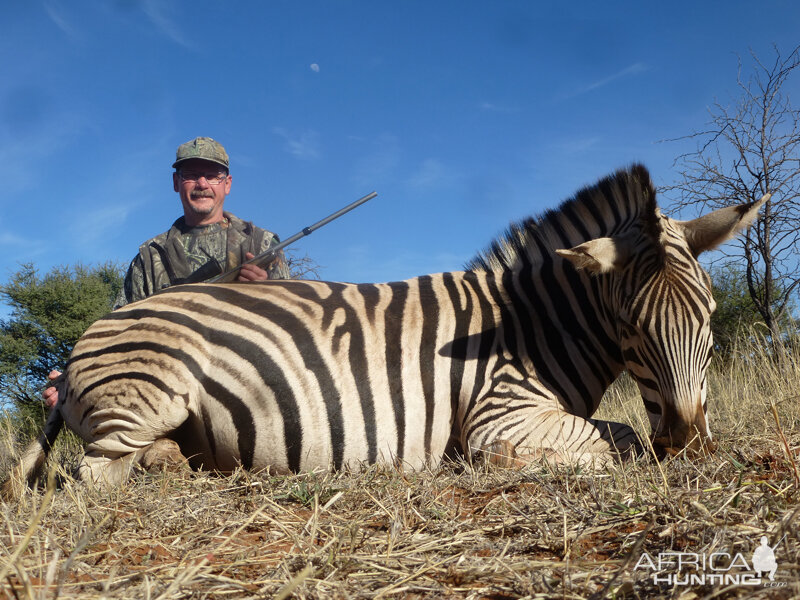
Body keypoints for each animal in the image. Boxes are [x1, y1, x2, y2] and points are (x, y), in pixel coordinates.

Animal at [0, 166, 764, 500]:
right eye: (631, 326)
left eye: (710, 316)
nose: (689, 443)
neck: (532, 323)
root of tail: (81, 345)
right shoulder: (499, 417)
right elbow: (620, 441)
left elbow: (625, 435)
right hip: (149, 395)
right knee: (93, 474)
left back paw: (186, 464)